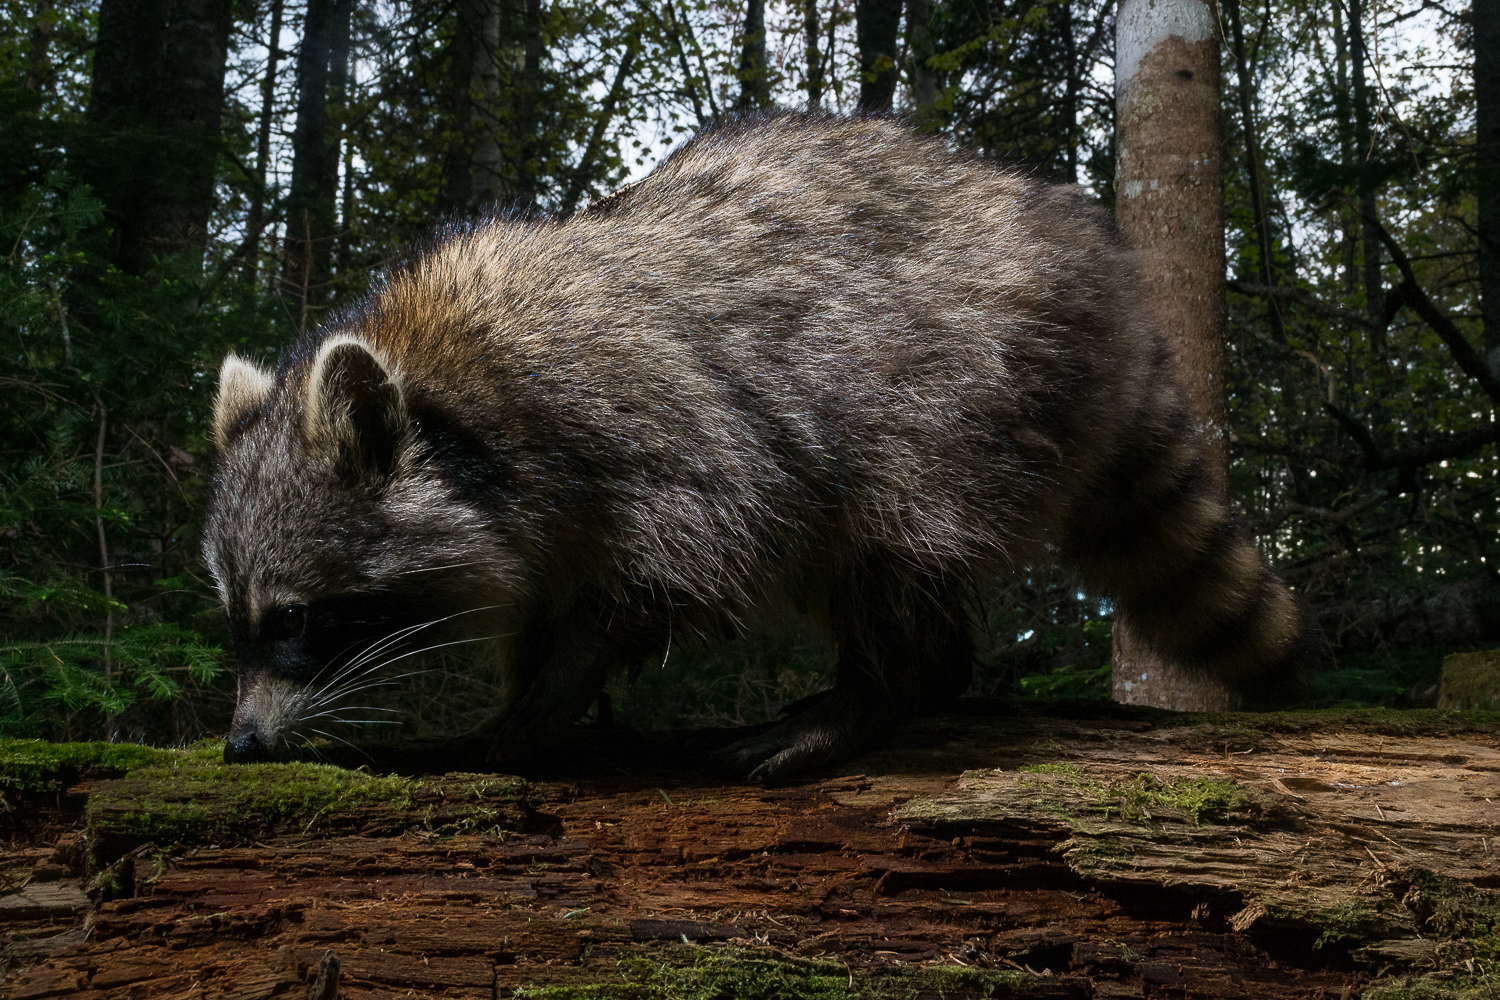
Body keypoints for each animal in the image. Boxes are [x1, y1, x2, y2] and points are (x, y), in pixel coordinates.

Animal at [208, 113, 1314, 779]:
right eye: (239, 621)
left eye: (295, 619)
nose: (241, 744)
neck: (442, 377)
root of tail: (1108, 289)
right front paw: (529, 682)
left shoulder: (650, 429)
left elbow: (656, 579)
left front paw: (544, 699)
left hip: (969, 377)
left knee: (889, 528)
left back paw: (881, 687)